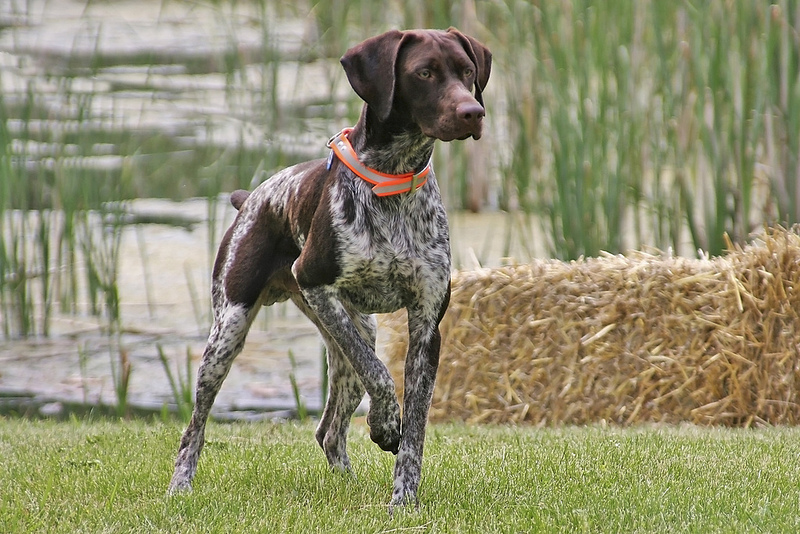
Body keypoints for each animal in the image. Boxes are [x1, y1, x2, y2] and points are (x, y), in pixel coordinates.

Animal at [169, 27, 490, 508]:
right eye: (424, 73)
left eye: (468, 72)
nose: (473, 112)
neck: (393, 182)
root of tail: (254, 197)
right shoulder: (315, 283)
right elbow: (380, 375)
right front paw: (384, 424)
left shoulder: (426, 326)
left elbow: (414, 431)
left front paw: (404, 499)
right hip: (228, 333)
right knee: (195, 427)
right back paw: (180, 485)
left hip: (353, 338)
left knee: (329, 431)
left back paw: (347, 483)